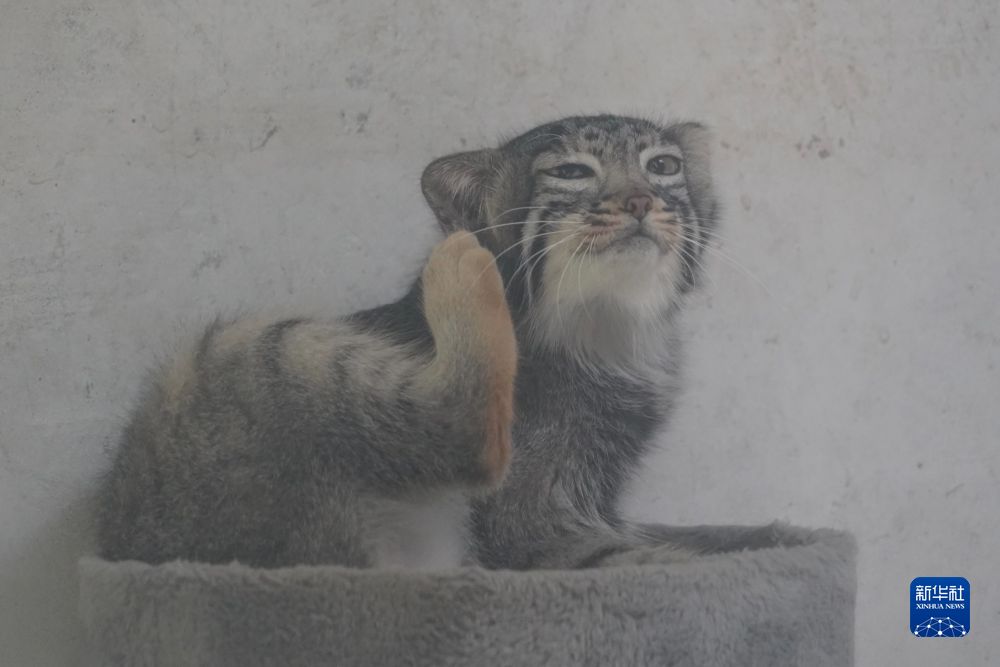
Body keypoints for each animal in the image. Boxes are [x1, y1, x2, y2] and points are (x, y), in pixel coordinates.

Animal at [97, 114, 717, 570]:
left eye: (662, 167)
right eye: (571, 171)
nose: (640, 201)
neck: (610, 330)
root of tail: (127, 547)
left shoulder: (598, 500)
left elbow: (686, 535)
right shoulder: (529, 522)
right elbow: (647, 559)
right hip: (251, 355)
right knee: (463, 431)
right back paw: (460, 266)